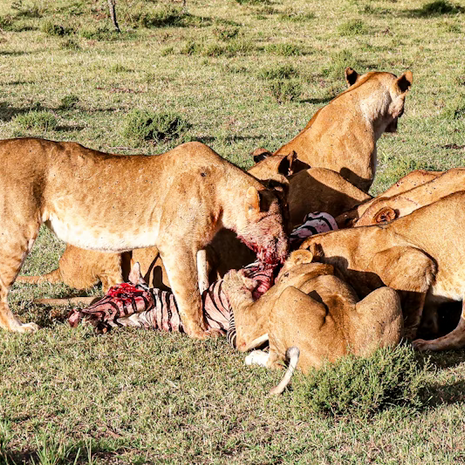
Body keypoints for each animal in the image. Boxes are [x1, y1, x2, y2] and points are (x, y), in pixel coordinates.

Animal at [0, 138, 288, 337]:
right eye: (278, 232)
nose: (285, 254)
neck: (221, 191)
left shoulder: (197, 245)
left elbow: (202, 281)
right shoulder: (175, 244)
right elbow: (189, 292)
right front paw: (200, 332)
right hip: (17, 233)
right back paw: (18, 328)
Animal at [222, 250, 402, 394]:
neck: (316, 268)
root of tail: (344, 364)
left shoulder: (248, 326)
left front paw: (232, 277)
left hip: (287, 295)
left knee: (276, 363)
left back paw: (254, 357)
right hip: (389, 294)